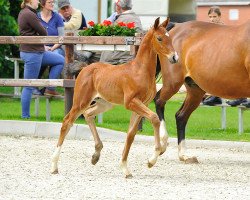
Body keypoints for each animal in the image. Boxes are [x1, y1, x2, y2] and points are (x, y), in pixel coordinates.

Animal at [50, 16, 178, 177]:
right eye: (159, 38)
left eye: (170, 38)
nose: (175, 57)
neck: (140, 71)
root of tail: (85, 68)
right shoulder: (131, 103)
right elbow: (154, 118)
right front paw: (153, 159)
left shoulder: (142, 105)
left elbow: (131, 134)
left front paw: (125, 168)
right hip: (81, 101)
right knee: (67, 121)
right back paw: (54, 165)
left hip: (104, 103)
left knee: (88, 114)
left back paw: (96, 154)